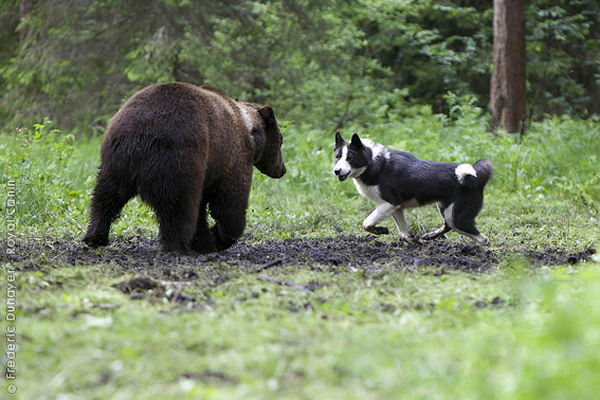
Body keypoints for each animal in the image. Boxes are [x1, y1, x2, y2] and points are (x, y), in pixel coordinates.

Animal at [82, 82, 286, 253]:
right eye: (281, 141)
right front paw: (217, 238)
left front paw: (206, 241)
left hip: (116, 159)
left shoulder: (209, 170)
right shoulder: (231, 158)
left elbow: (203, 207)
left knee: (106, 196)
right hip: (179, 156)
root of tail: (138, 135)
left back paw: (95, 236)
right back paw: (176, 245)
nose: (282, 170)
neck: (250, 133)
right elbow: (229, 203)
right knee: (178, 204)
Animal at [332, 131, 492, 244]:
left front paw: (380, 230)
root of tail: (476, 178)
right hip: (446, 210)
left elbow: (366, 223)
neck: (371, 162)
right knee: (448, 226)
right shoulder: (397, 208)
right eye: (337, 157)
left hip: (458, 218)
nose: (336, 171)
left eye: (350, 158)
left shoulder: (389, 204)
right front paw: (411, 240)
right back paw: (430, 236)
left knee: (483, 239)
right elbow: (404, 231)